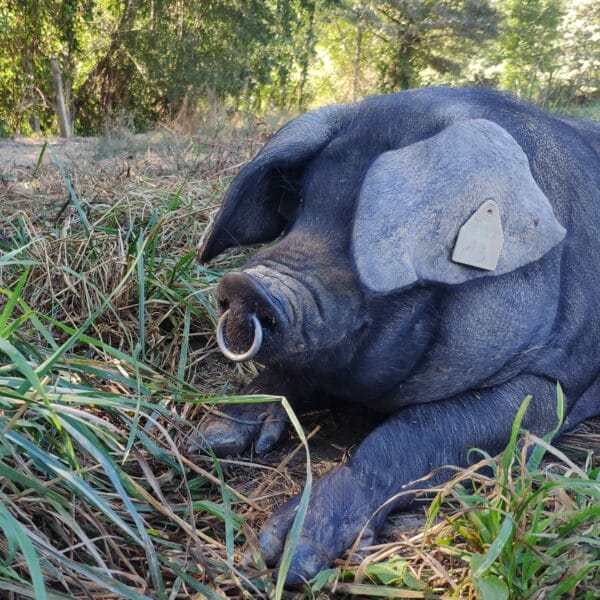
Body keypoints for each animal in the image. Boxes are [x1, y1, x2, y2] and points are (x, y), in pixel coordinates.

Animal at [195, 86, 596, 584]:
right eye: (301, 204)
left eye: (377, 233)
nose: (246, 286)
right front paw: (209, 437)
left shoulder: (553, 383)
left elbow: (415, 431)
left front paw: (283, 553)